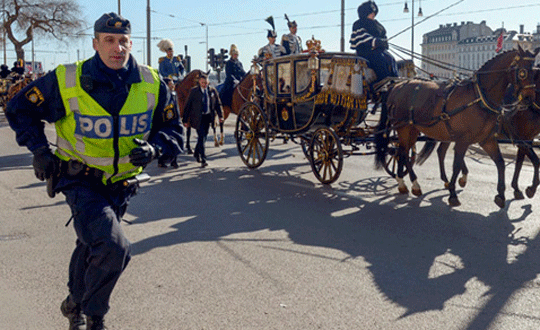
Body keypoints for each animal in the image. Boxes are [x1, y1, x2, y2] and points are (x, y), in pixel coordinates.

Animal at [378, 47, 536, 206]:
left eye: (534, 70)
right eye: (523, 72)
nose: (529, 98)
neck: (479, 97)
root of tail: (396, 86)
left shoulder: (487, 140)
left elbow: (500, 163)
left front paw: (501, 195)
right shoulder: (463, 140)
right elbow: (456, 164)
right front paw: (453, 193)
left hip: (413, 130)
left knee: (403, 151)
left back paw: (402, 182)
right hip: (404, 129)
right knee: (404, 152)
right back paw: (413, 184)